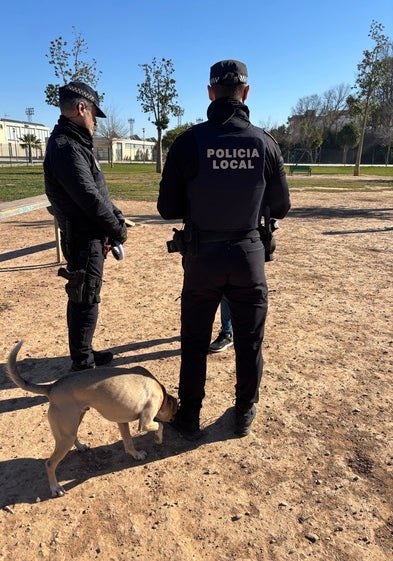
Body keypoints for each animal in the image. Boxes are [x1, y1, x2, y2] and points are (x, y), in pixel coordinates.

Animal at [5, 340, 178, 496]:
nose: (174, 420)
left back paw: (81, 447)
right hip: (66, 435)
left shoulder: (122, 422)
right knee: (49, 464)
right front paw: (158, 439)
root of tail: (51, 387)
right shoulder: (145, 422)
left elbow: (128, 443)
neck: (161, 392)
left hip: (75, 421)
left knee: (74, 437)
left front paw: (136, 455)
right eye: (175, 412)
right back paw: (55, 488)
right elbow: (159, 426)